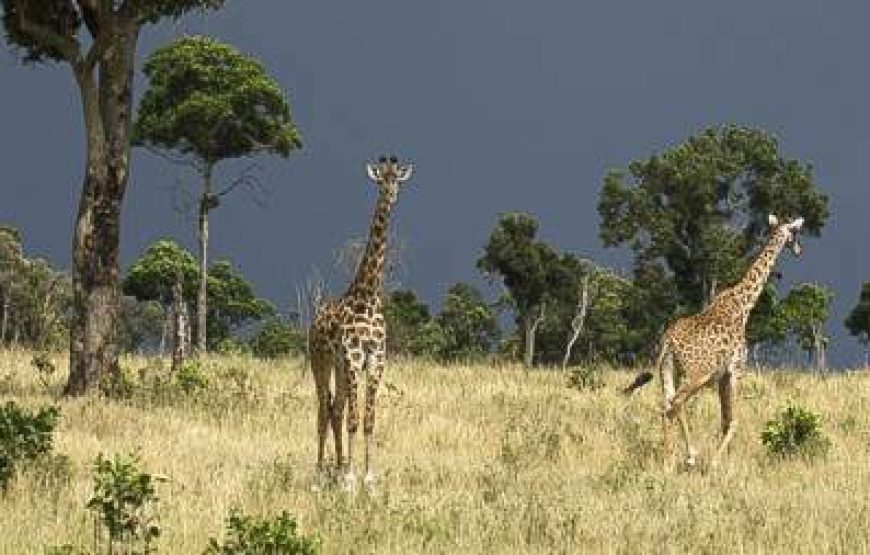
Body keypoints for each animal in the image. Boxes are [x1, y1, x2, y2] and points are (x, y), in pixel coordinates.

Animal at [310, 155, 412, 486]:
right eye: (381, 180)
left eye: (397, 180)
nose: (391, 196)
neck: (368, 295)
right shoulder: (355, 358)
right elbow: (355, 420)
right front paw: (352, 480)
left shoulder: (375, 360)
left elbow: (367, 420)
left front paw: (367, 478)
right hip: (321, 361)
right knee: (323, 409)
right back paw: (320, 474)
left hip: (340, 367)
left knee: (336, 410)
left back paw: (339, 467)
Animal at [624, 213, 808, 470]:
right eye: (795, 233)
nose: (799, 250)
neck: (744, 305)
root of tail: (669, 342)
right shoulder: (736, 370)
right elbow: (733, 420)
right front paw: (716, 462)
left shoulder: (721, 376)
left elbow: (724, 420)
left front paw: (724, 460)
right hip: (697, 374)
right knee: (677, 403)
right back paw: (690, 455)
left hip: (668, 370)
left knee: (666, 405)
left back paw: (667, 460)